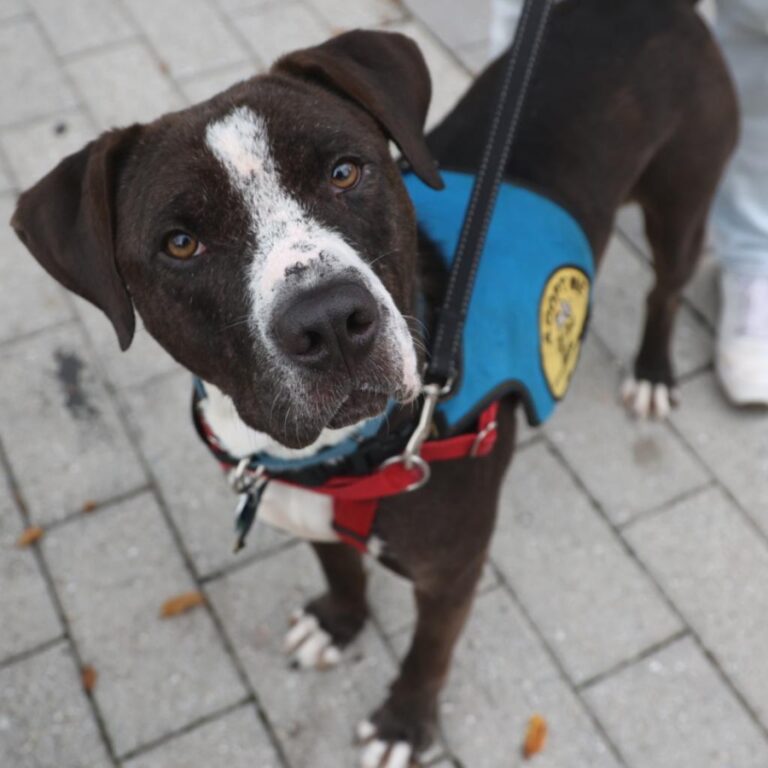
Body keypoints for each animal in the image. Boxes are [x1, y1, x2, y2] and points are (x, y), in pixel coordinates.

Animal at [9, 3, 736, 764]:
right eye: (180, 243)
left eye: (345, 171)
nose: (330, 320)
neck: (335, 455)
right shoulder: (314, 516)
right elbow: (341, 568)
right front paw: (339, 623)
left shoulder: (452, 572)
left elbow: (428, 653)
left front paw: (403, 725)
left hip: (684, 201)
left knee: (665, 288)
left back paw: (651, 373)